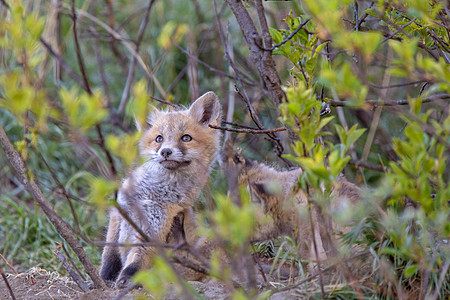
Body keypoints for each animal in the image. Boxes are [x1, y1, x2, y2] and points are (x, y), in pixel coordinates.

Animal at [101, 91, 222, 286]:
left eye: (186, 138)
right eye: (159, 139)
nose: (165, 151)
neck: (151, 194)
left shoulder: (153, 230)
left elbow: (136, 262)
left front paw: (125, 280)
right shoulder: (119, 213)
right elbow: (109, 254)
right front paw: (105, 277)